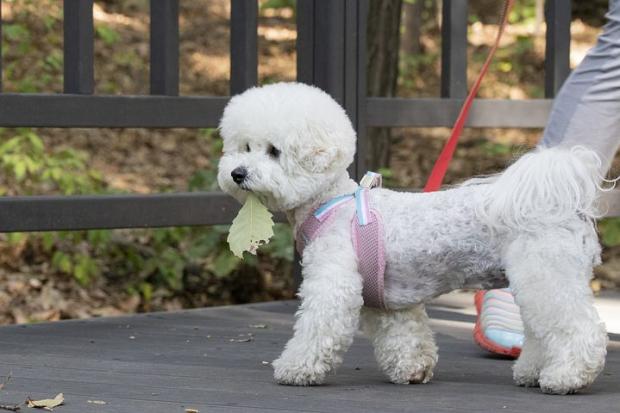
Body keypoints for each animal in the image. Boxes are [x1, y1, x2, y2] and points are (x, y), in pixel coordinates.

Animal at [216, 82, 608, 394]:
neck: (330, 202)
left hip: (548, 274)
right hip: (534, 280)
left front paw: (295, 368)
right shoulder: (389, 302)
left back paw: (567, 377)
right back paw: (533, 372)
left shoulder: (333, 285)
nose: (237, 173)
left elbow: (317, 328)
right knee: (542, 332)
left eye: (273, 151)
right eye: (243, 147)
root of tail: (565, 205)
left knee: (581, 329)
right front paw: (412, 370)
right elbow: (404, 336)